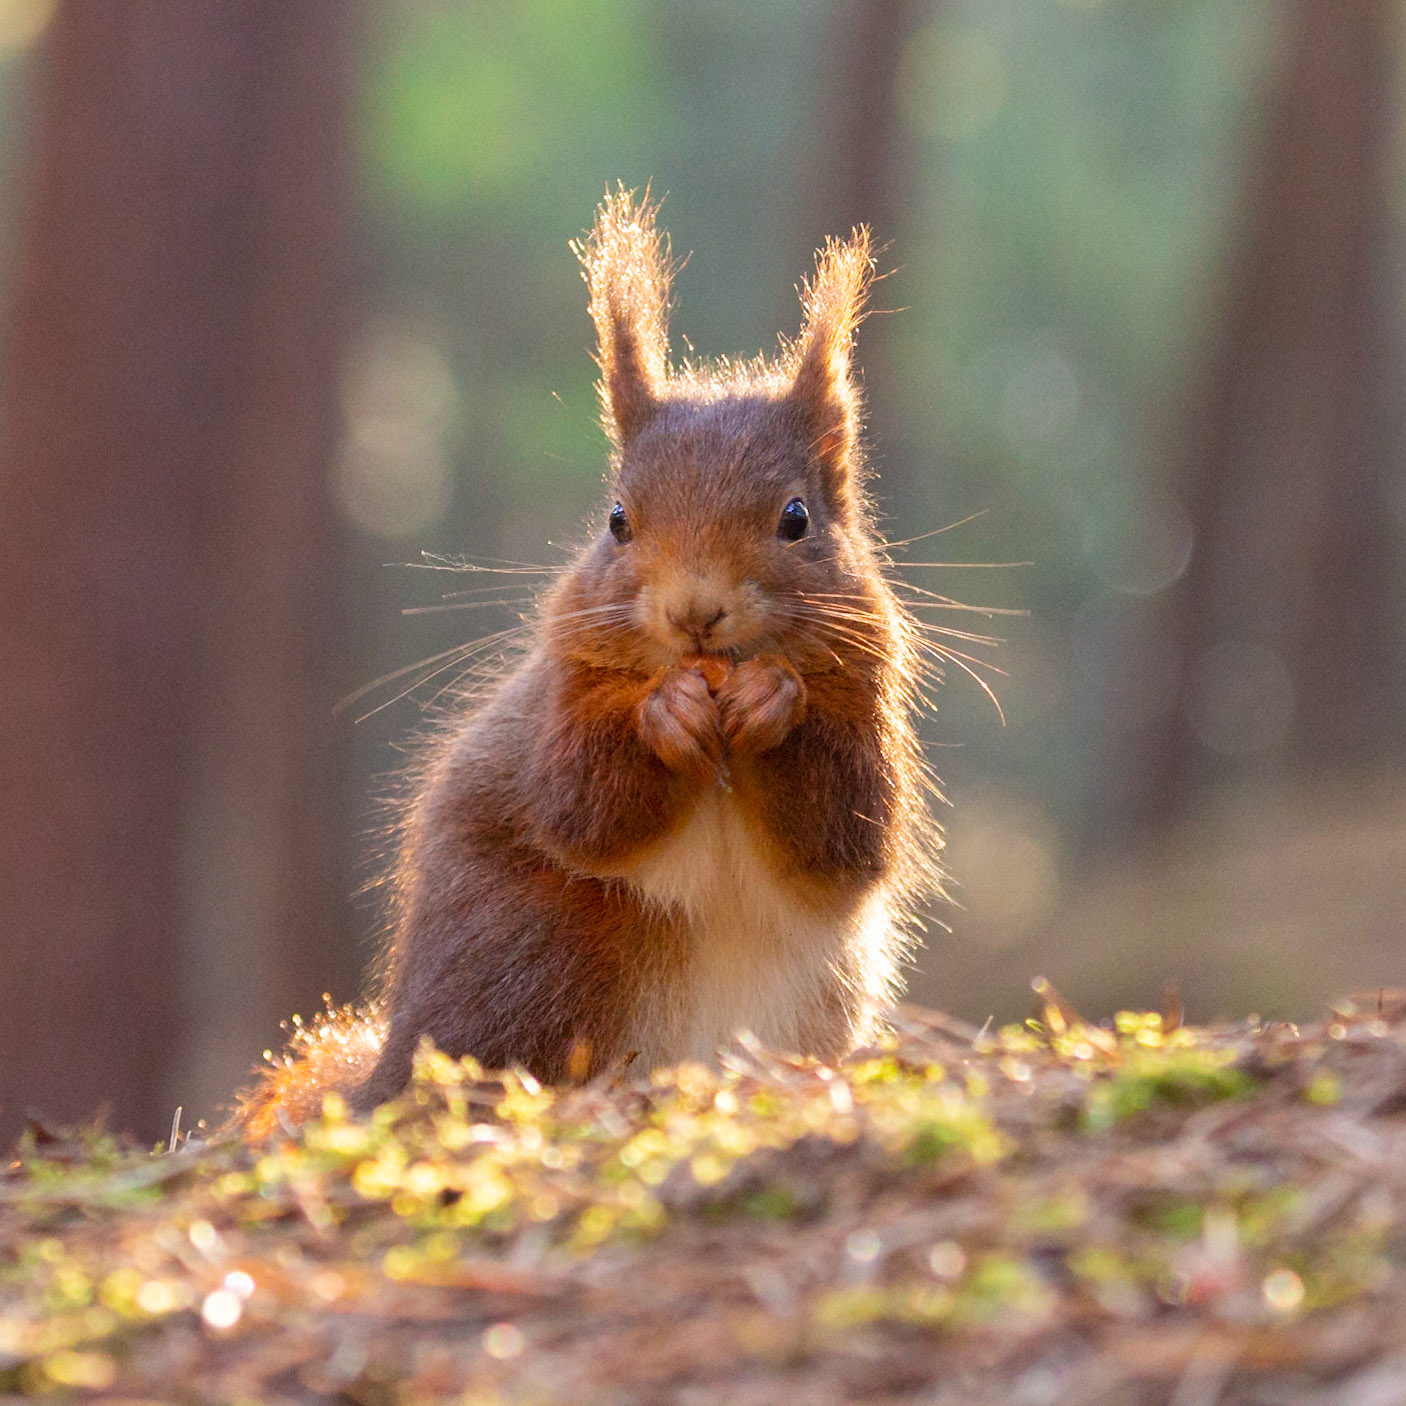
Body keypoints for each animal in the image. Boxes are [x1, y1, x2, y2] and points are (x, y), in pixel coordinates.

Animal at [236, 189, 940, 1138]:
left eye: (796, 519)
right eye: (616, 520)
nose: (694, 613)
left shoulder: (868, 693)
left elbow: (851, 831)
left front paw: (772, 698)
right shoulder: (562, 695)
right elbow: (580, 806)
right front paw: (664, 715)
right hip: (540, 953)